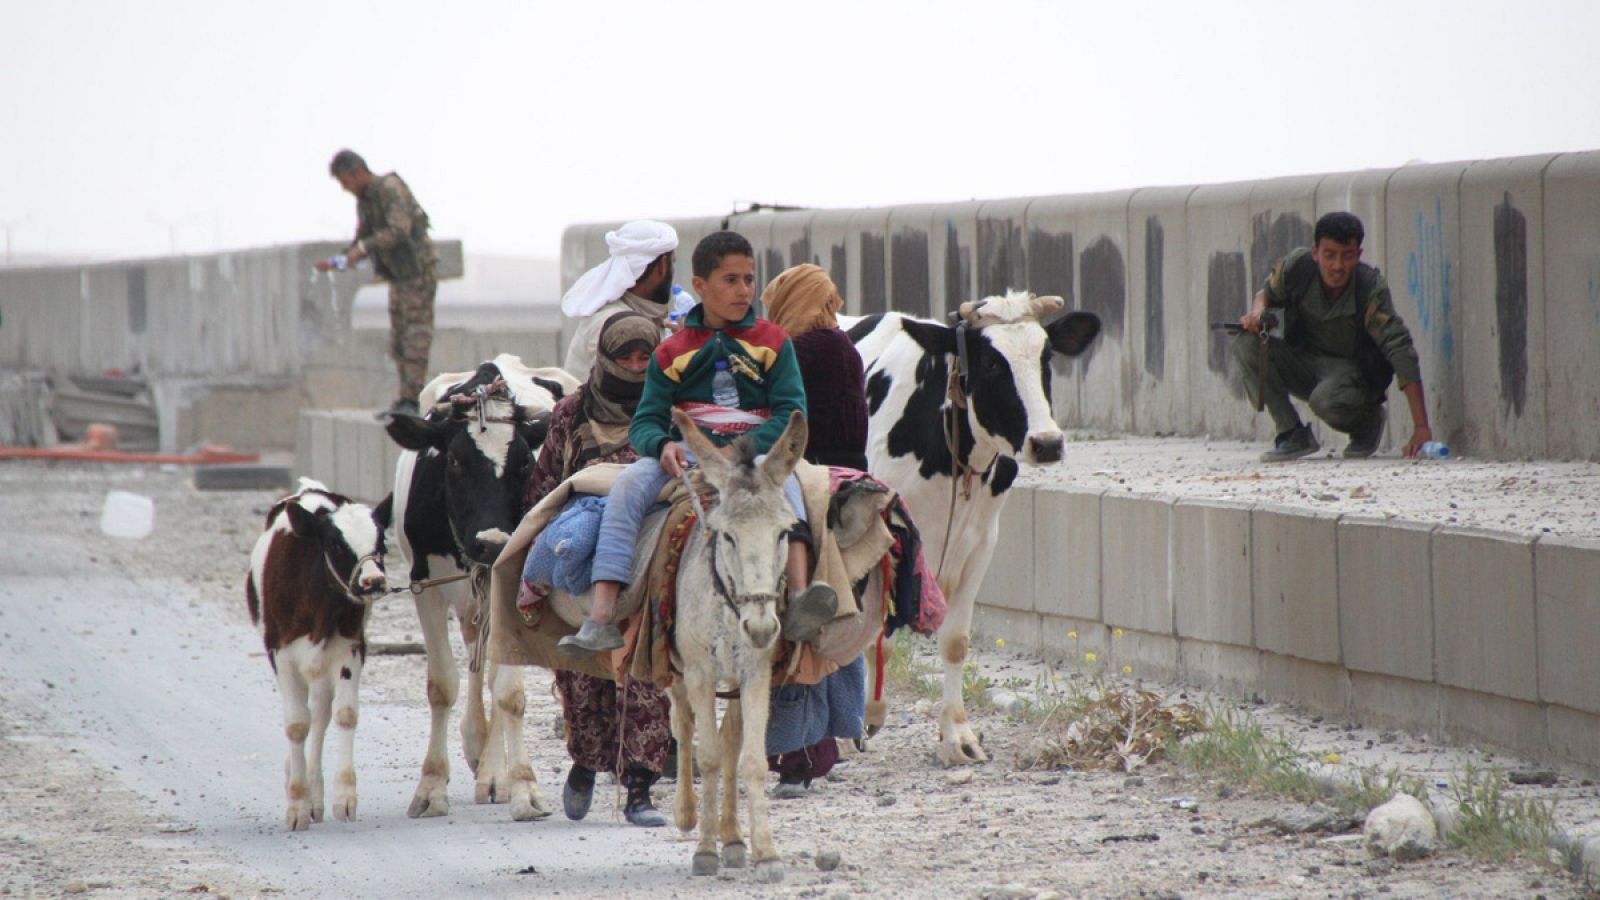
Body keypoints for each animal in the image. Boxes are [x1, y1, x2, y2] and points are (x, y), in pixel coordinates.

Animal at [246, 477, 390, 826]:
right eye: (337, 545)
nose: (374, 581)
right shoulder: (281, 653)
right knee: (307, 716)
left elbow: (345, 714)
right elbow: (297, 724)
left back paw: (315, 792)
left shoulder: (351, 647)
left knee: (321, 712)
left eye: (382, 542)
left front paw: (343, 797)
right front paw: (297, 804)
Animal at [377, 352, 579, 819]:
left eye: (524, 461)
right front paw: (431, 786)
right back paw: (477, 749)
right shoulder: (425, 585)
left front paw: (523, 786)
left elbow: (509, 692)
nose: (492, 542)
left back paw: (493, 774)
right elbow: (441, 685)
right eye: (453, 461)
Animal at [851, 293, 1100, 762]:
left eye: (1046, 357)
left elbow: (955, 640)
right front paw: (857, 722)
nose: (1047, 443)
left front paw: (957, 736)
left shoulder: (981, 542)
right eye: (990, 363)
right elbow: (872, 634)